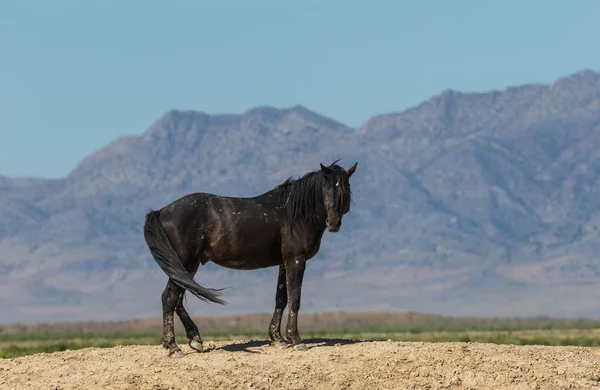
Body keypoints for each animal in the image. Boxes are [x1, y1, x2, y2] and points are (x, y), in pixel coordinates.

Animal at [143, 158, 358, 356]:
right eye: (326, 189)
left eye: (345, 188)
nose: (333, 223)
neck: (296, 212)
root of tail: (162, 212)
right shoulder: (296, 260)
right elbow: (295, 298)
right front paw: (296, 340)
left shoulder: (283, 263)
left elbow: (281, 298)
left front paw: (278, 338)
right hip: (185, 262)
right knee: (169, 298)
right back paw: (173, 347)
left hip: (189, 265)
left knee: (177, 299)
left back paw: (195, 339)